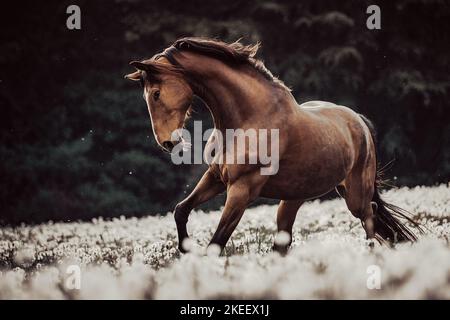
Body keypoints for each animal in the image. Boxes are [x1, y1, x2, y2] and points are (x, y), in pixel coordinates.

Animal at [124, 37, 422, 254]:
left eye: (156, 93)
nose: (167, 142)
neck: (248, 117)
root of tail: (359, 121)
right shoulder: (216, 178)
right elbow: (181, 211)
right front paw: (185, 252)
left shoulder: (242, 190)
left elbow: (216, 243)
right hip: (292, 200)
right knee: (283, 242)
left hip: (355, 194)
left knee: (370, 216)